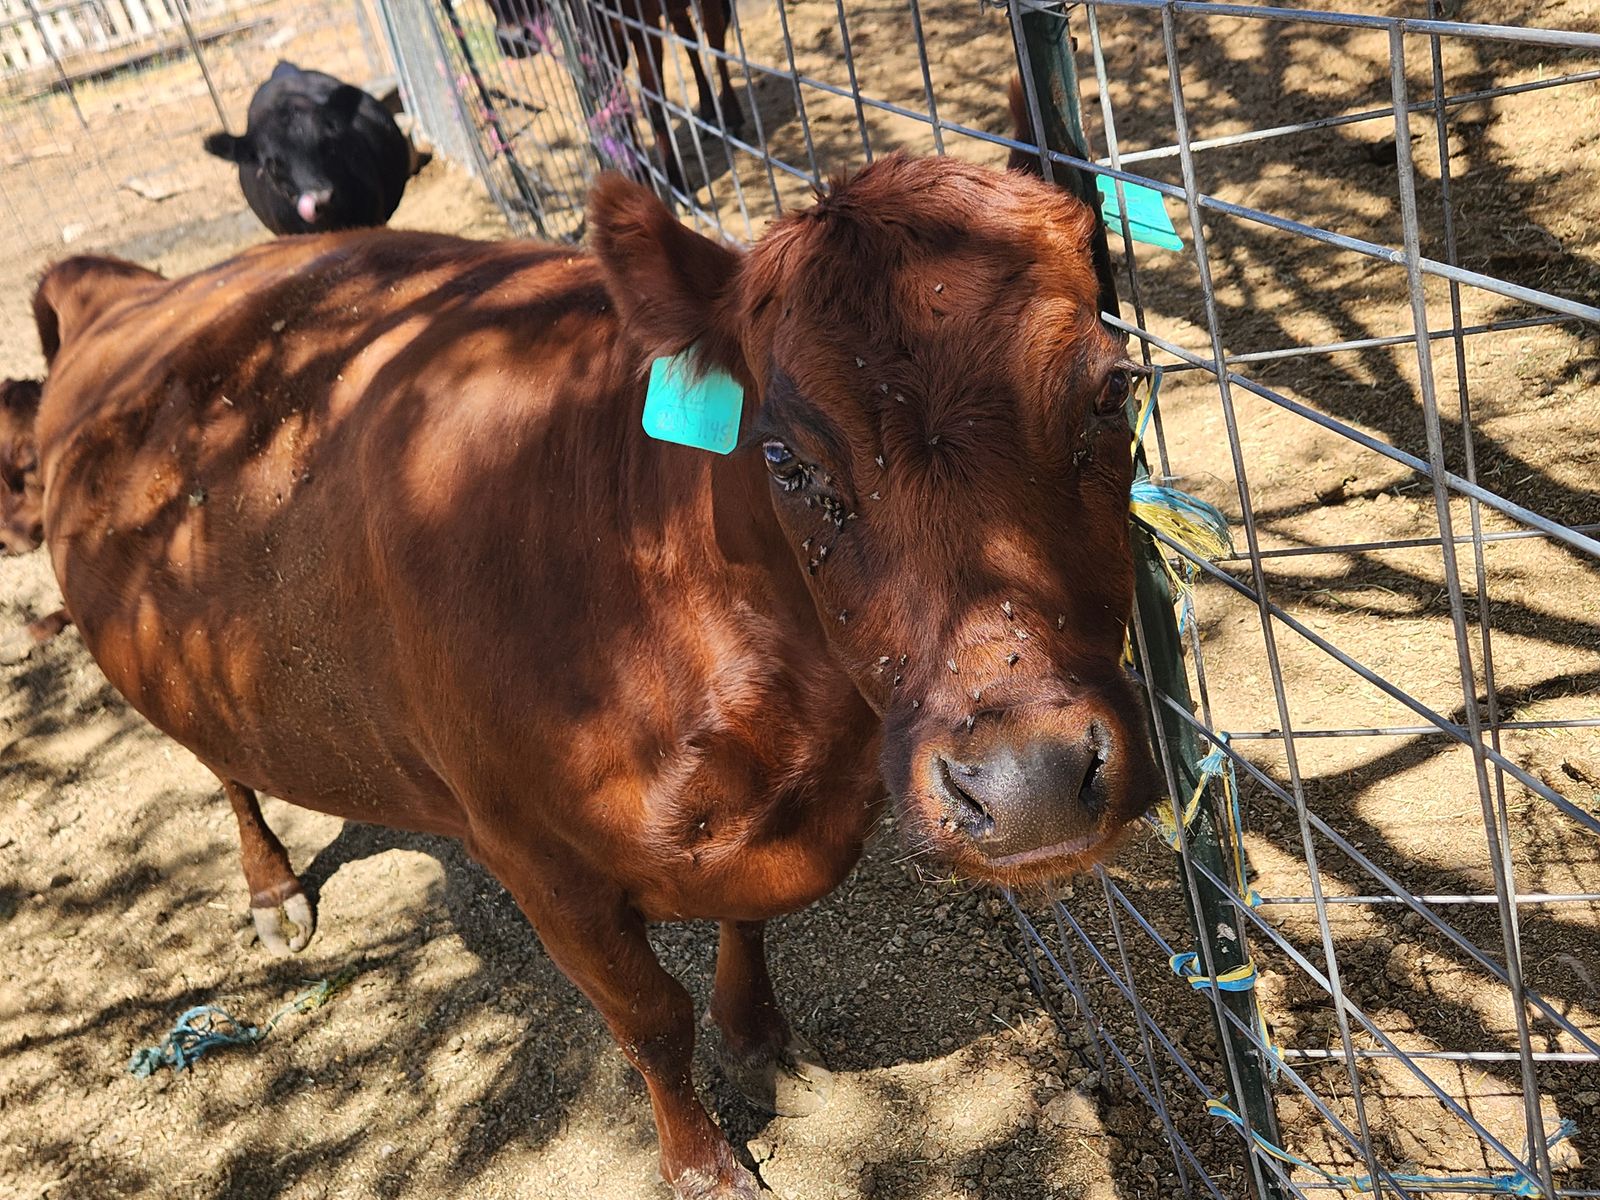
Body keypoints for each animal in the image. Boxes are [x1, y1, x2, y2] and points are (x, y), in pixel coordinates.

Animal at [24, 147, 1157, 1195]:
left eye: (1114, 391)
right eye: (784, 459)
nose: (1028, 781)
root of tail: (127, 289)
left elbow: (746, 928)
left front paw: (760, 1045)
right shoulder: (534, 858)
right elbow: (649, 1018)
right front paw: (702, 1165)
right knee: (224, 770)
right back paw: (271, 889)